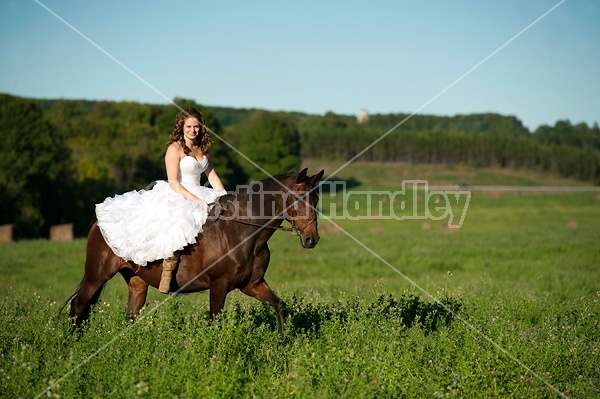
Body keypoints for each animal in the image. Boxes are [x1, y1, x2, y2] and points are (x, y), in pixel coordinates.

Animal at [67, 167, 324, 336]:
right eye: (298, 198)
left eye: (316, 198)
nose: (312, 239)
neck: (243, 232)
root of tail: (97, 222)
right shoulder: (219, 285)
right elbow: (215, 322)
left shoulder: (252, 284)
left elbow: (280, 306)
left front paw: (281, 343)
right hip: (96, 275)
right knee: (77, 307)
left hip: (137, 281)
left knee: (130, 315)